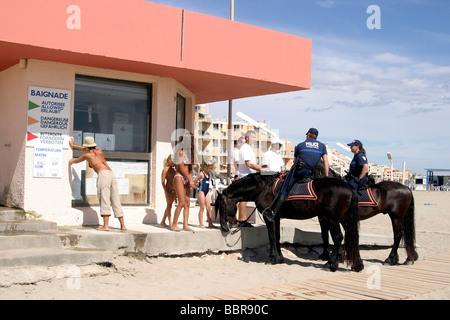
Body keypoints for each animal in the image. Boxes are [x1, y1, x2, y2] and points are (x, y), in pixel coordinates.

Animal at [214, 172, 362, 272]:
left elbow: (272, 236)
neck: (263, 188)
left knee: (338, 238)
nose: (224, 227)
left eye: (222, 206)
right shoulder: (276, 217)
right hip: (342, 219)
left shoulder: (269, 217)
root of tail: (349, 187)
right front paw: (279, 258)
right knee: (352, 237)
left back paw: (331, 264)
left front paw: (272, 259)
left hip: (332, 219)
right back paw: (357, 265)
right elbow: (277, 236)